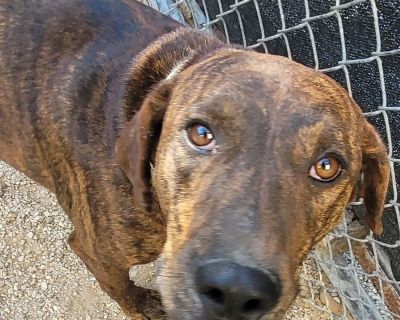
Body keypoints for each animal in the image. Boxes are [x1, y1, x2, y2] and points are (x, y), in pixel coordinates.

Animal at [0, 0, 390, 320]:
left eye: (327, 166)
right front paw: (141, 306)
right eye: (200, 133)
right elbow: (119, 286)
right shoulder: (97, 252)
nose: (236, 290)